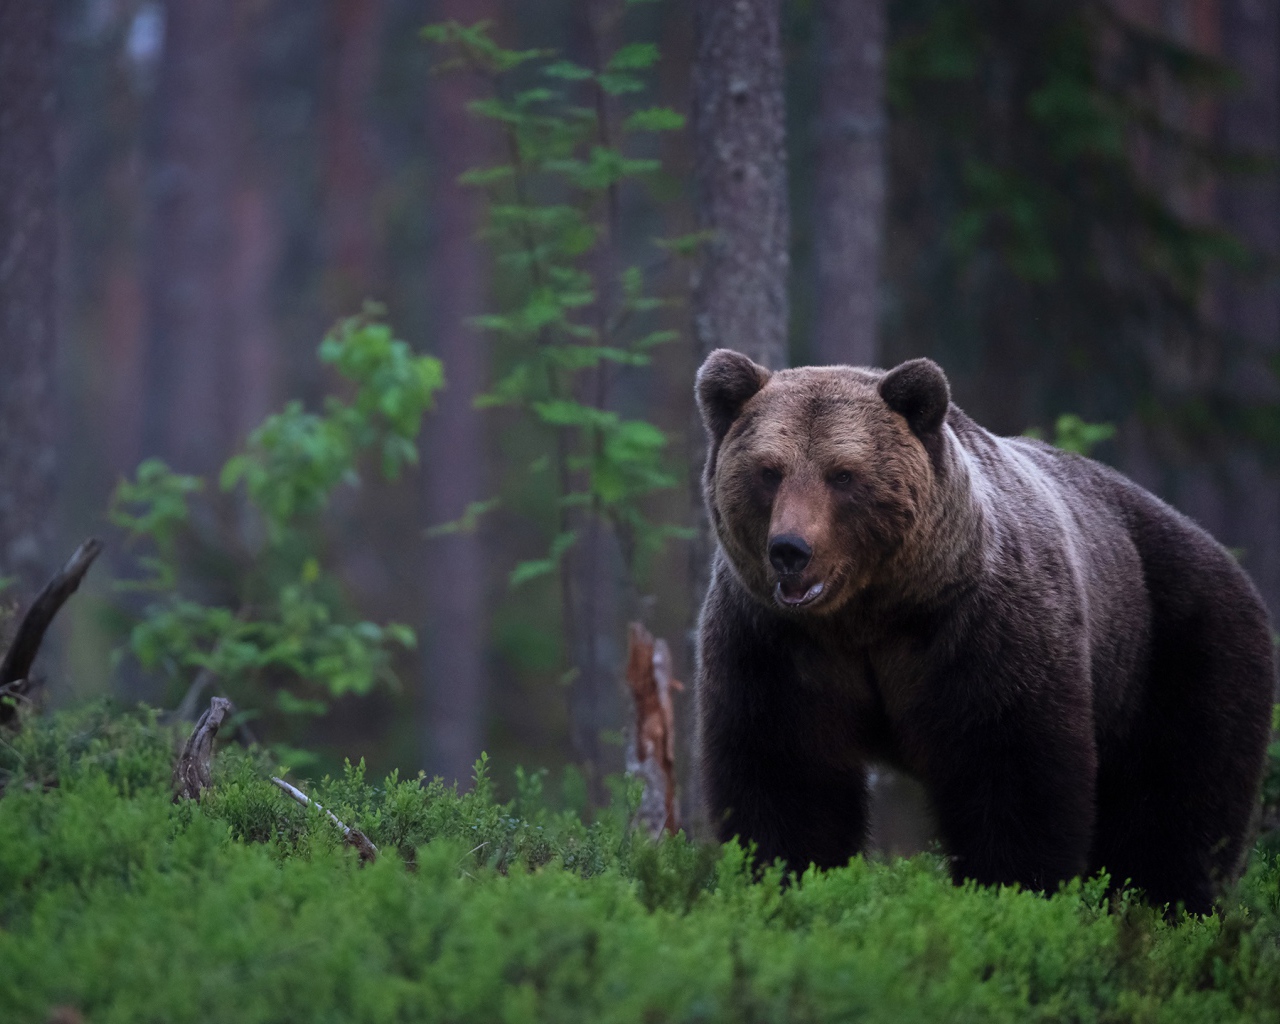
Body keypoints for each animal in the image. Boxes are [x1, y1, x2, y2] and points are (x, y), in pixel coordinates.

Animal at [696, 350, 1274, 911]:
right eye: (769, 471)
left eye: (843, 475)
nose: (790, 550)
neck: (871, 615)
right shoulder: (776, 644)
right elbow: (786, 776)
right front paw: (786, 879)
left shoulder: (984, 632)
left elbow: (1013, 773)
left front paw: (1012, 892)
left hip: (1178, 646)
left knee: (1180, 805)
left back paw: (1169, 904)